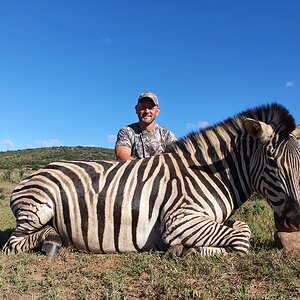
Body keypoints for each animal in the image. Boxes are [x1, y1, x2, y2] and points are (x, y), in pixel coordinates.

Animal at [2, 103, 300, 258]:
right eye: (272, 162)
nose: (295, 221)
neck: (210, 174)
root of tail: (34, 173)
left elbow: (239, 227)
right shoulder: (179, 219)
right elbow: (242, 236)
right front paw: (186, 250)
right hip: (37, 209)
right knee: (14, 244)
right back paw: (52, 240)